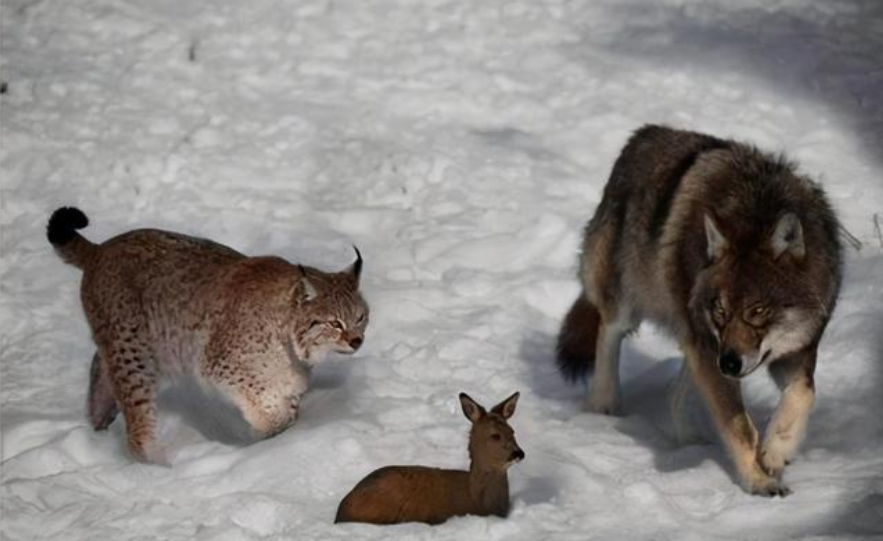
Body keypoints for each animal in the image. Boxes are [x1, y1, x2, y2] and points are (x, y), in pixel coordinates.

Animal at [46, 209, 370, 462]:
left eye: (360, 317)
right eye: (335, 323)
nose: (357, 341)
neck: (289, 340)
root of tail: (102, 248)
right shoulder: (217, 364)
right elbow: (263, 401)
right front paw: (267, 430)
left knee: (99, 363)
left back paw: (99, 419)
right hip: (133, 352)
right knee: (137, 419)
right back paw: (153, 464)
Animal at [560, 124, 844, 496]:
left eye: (757, 310)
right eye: (720, 310)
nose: (730, 363)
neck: (756, 207)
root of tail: (643, 134)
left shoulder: (795, 352)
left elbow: (804, 395)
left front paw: (774, 454)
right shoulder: (714, 350)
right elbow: (740, 427)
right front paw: (758, 481)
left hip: (696, 340)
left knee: (674, 392)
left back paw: (690, 441)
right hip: (632, 305)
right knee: (608, 334)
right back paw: (605, 407)